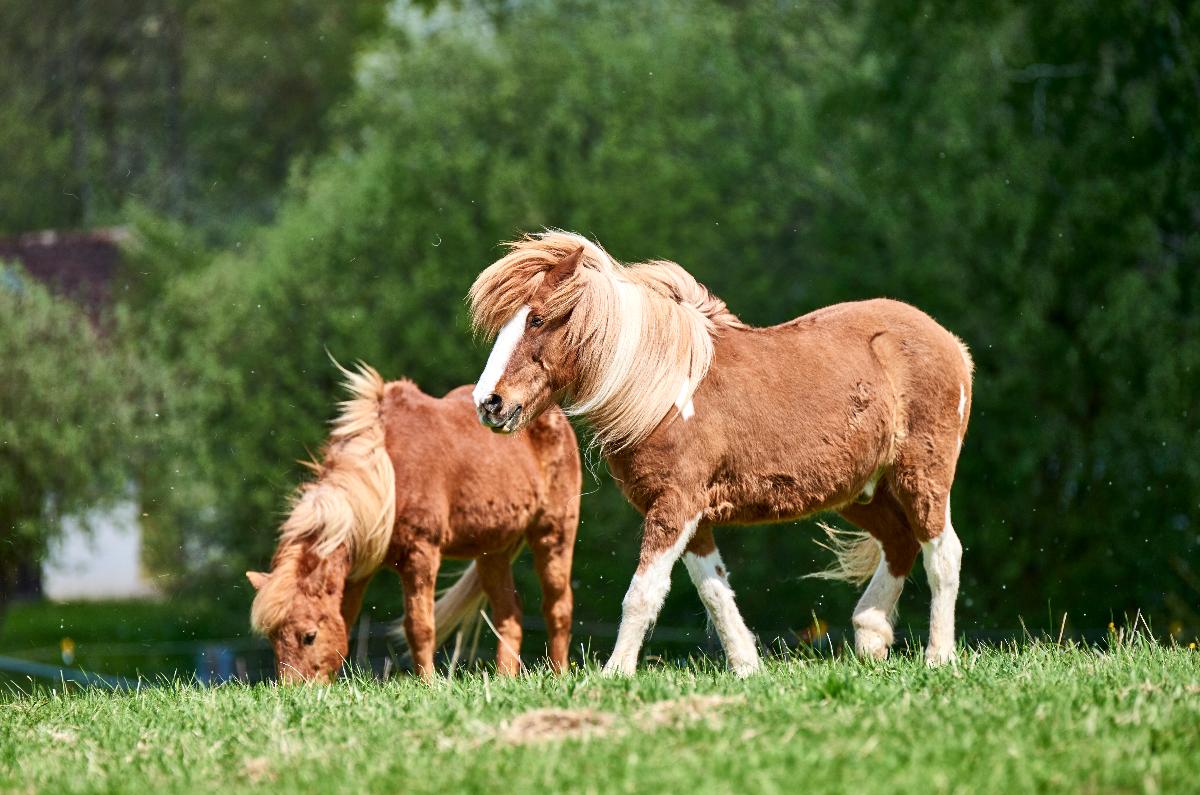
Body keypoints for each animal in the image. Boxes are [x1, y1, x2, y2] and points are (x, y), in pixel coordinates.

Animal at [246, 365, 578, 682]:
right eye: (272, 639)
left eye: (309, 636)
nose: (293, 692)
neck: (386, 475)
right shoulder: (358, 568)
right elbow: (345, 619)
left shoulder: (421, 554)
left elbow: (419, 627)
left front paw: (428, 684)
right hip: (492, 551)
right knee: (509, 614)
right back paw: (503, 679)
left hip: (555, 532)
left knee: (557, 607)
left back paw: (559, 674)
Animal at [468, 231, 974, 677]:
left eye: (536, 319)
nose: (488, 402)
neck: (662, 388)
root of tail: (951, 344)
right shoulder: (690, 514)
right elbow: (713, 590)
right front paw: (747, 667)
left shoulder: (675, 507)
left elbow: (644, 592)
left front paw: (615, 673)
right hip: (862, 492)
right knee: (900, 543)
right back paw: (870, 639)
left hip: (922, 475)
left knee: (943, 553)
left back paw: (939, 657)